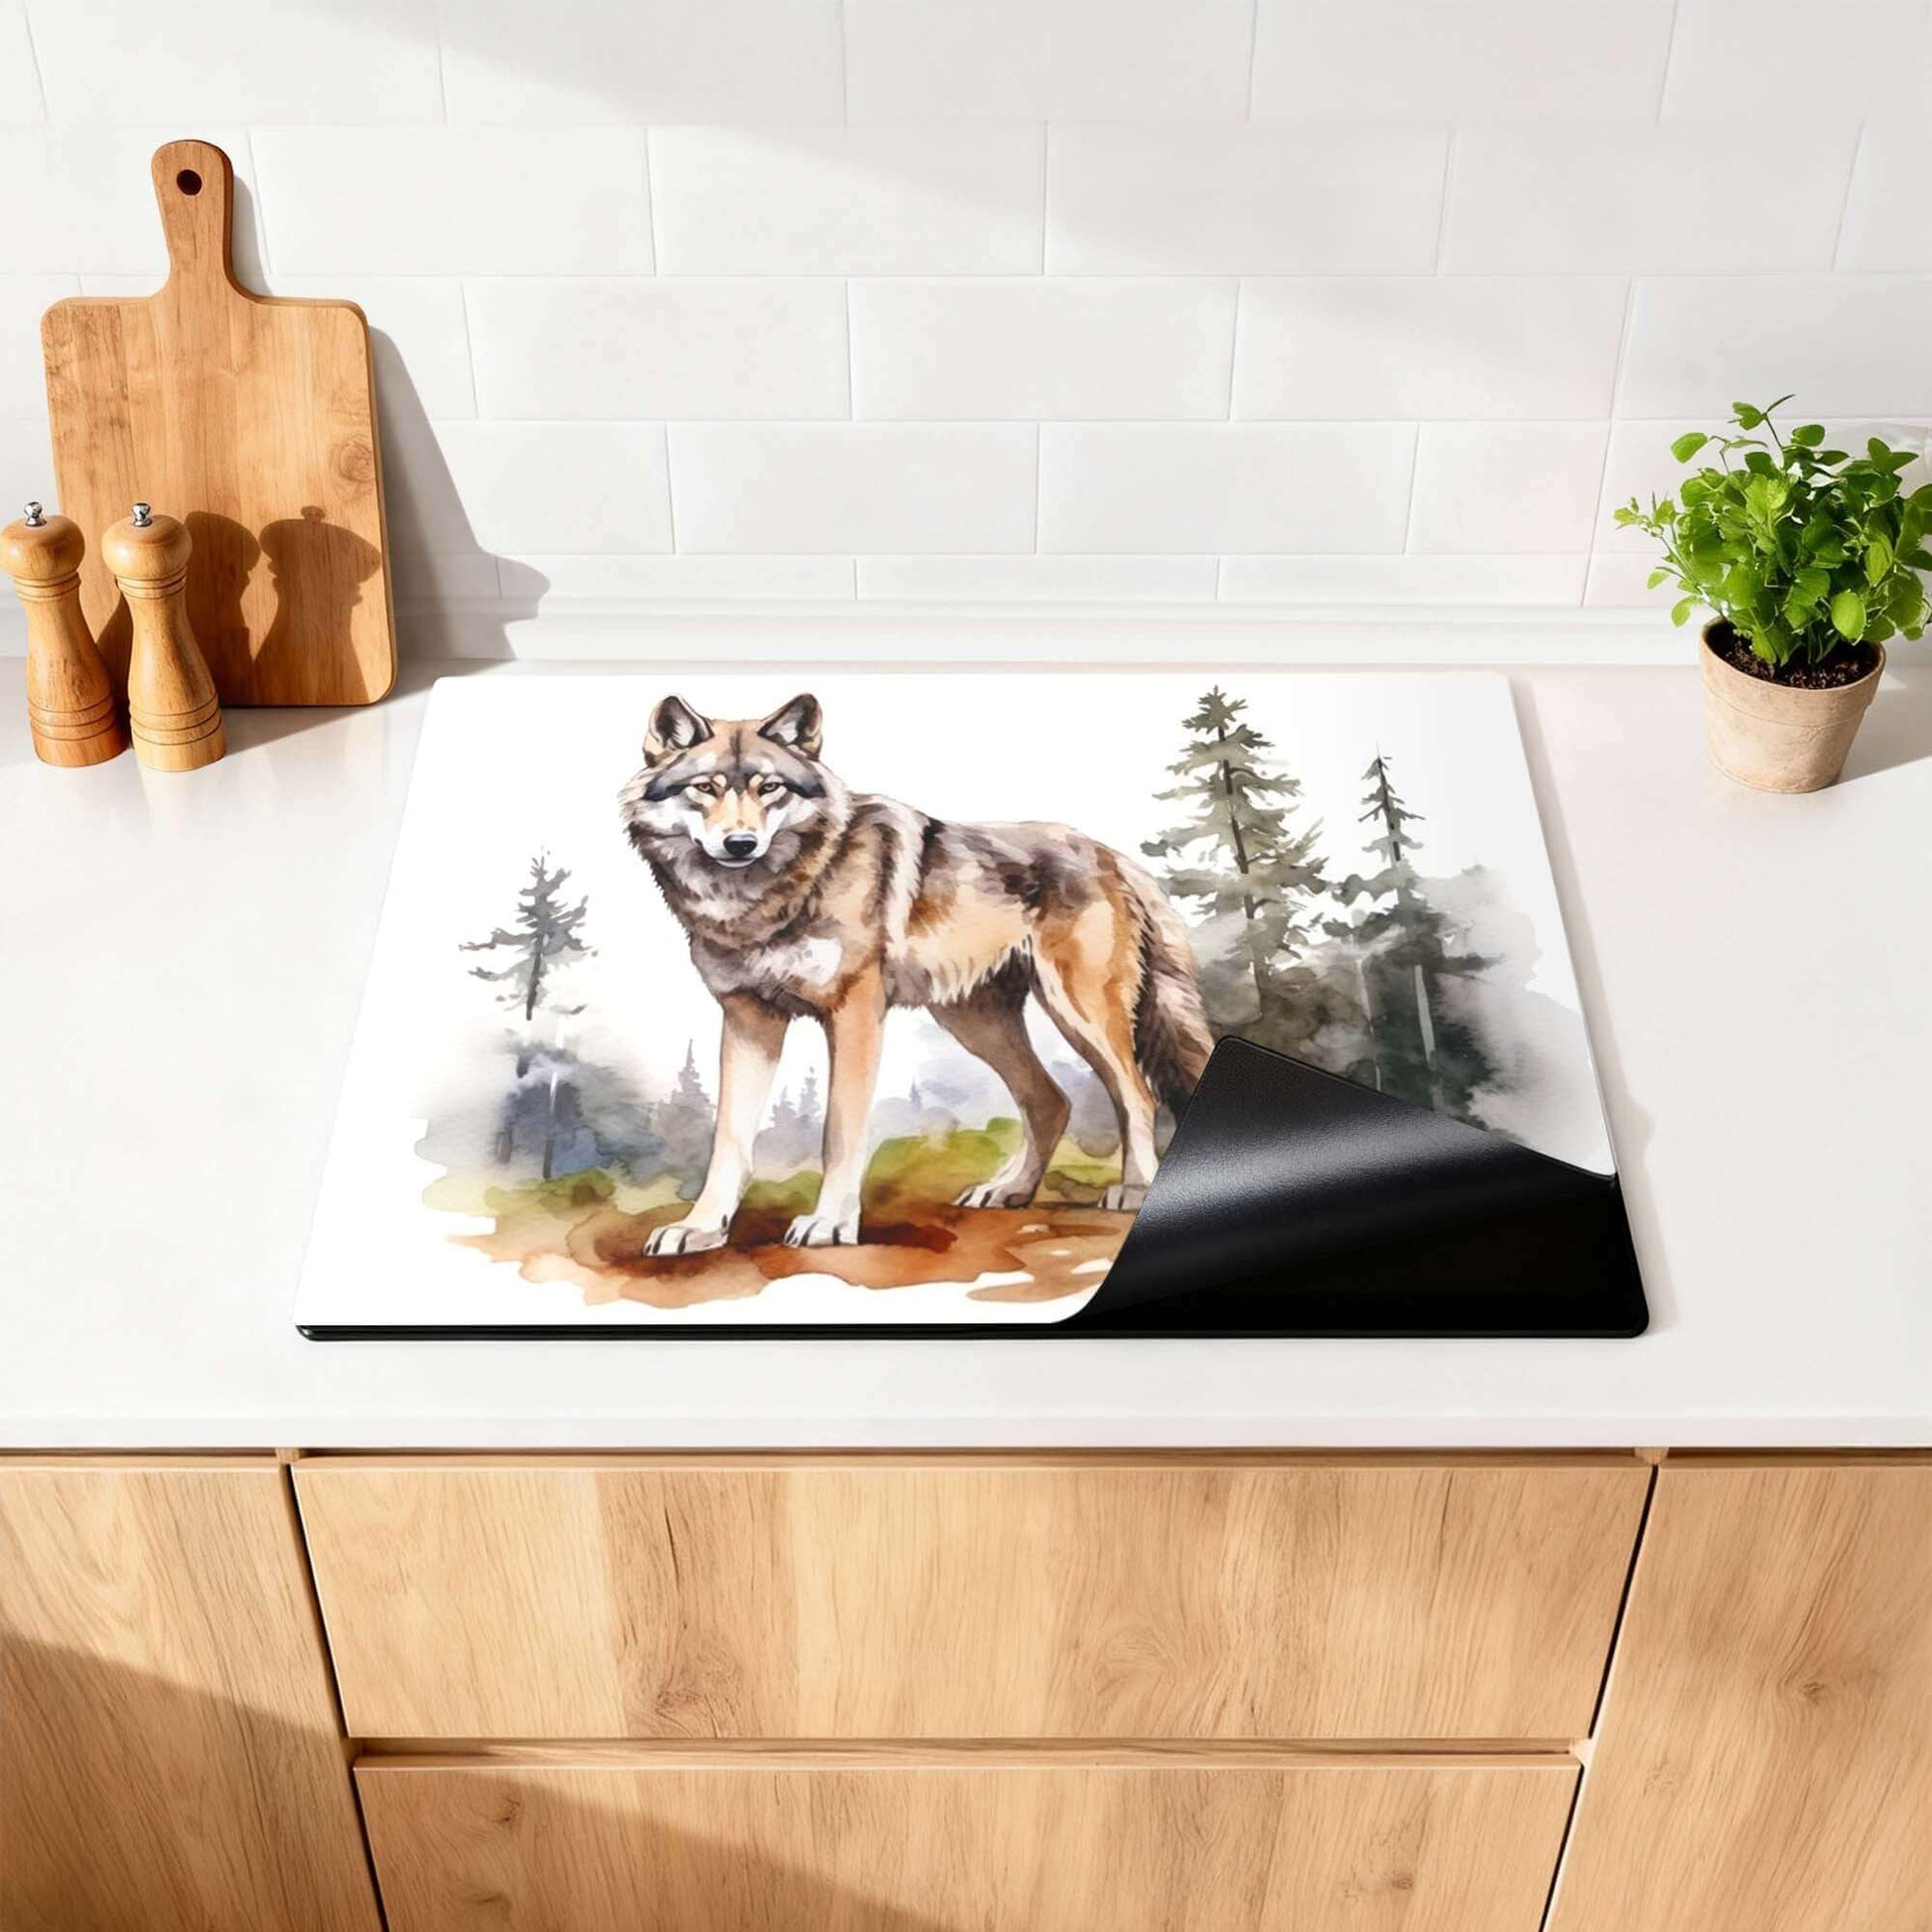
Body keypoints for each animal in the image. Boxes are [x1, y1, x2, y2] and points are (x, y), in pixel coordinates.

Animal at [618, 692, 1213, 1254]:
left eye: (770, 789)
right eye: (705, 788)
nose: (740, 843)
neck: (767, 898)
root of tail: (1112, 855)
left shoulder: (855, 1012)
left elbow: (840, 1131)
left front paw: (830, 1223)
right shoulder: (747, 1016)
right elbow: (730, 1140)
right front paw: (701, 1229)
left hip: (1080, 1013)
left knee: (1136, 1095)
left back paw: (1133, 1190)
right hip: (975, 1022)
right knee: (1050, 1100)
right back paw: (1008, 1189)